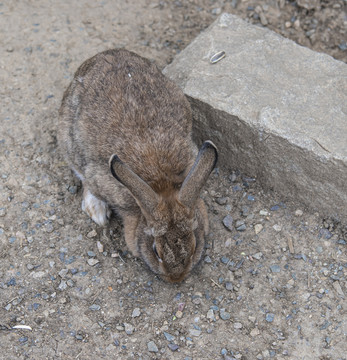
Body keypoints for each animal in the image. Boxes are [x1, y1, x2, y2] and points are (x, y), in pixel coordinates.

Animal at [58, 48, 219, 284]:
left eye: (194, 245)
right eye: (155, 251)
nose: (176, 279)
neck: (161, 183)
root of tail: (102, 55)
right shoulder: (99, 179)